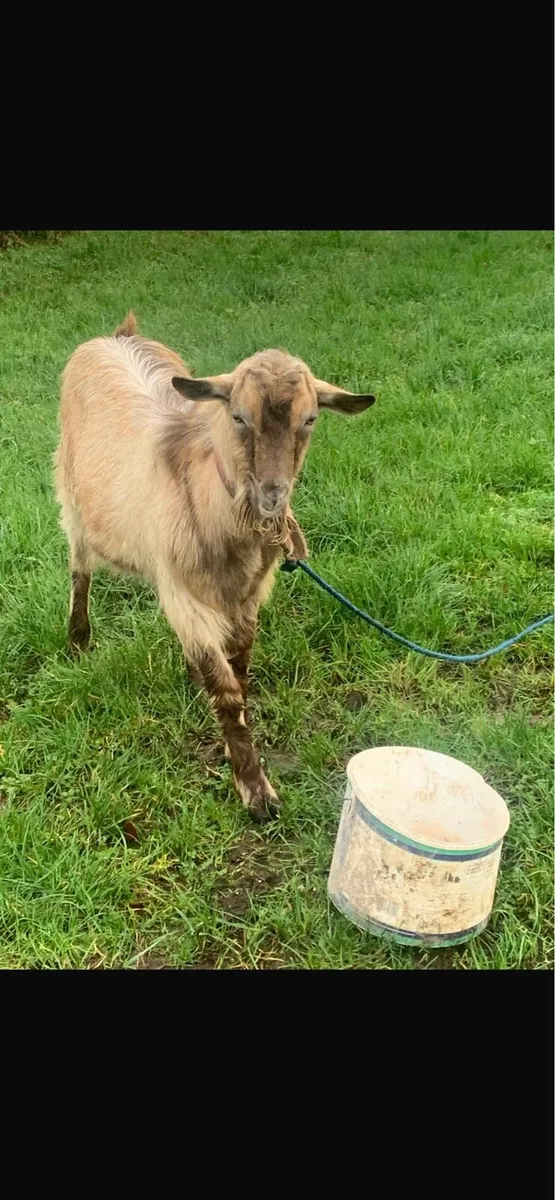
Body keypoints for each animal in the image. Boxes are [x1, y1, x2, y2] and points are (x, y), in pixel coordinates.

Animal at [54, 313, 375, 821]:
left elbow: (239, 670)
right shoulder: (183, 596)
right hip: (72, 498)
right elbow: (225, 687)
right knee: (79, 570)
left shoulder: (248, 597)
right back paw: (78, 641)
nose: (272, 495)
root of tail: (117, 334)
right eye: (238, 416)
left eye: (310, 419)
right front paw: (256, 791)